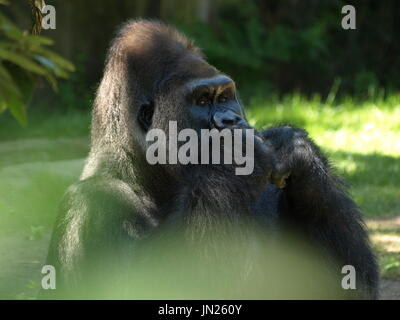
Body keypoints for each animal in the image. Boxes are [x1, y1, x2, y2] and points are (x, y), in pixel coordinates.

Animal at [43, 20, 378, 300]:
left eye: (225, 97)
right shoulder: (90, 204)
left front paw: (296, 149)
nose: (231, 121)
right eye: (203, 100)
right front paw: (232, 154)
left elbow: (345, 290)